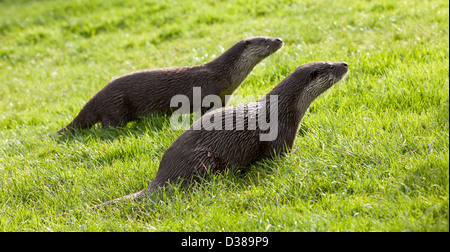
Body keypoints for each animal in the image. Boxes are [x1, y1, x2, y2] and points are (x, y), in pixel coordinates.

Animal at [55, 36, 282, 135]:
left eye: (270, 35)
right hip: (114, 106)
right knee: (108, 125)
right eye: (264, 39)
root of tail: (95, 97)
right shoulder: (209, 95)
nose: (279, 39)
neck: (223, 76)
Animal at [93, 61, 350, 209]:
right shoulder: (279, 139)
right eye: (330, 67)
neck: (283, 109)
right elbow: (277, 159)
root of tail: (163, 174)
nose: (345, 63)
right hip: (202, 159)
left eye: (330, 61)